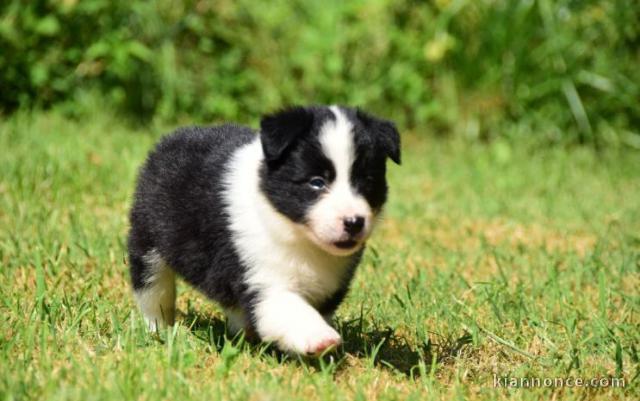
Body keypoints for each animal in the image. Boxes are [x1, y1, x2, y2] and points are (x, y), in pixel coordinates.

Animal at [128, 104, 400, 354]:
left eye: (366, 182)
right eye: (316, 182)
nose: (354, 222)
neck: (298, 237)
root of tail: (170, 139)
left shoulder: (332, 283)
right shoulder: (260, 273)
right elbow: (288, 306)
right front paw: (319, 337)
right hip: (149, 240)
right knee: (154, 290)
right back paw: (159, 330)